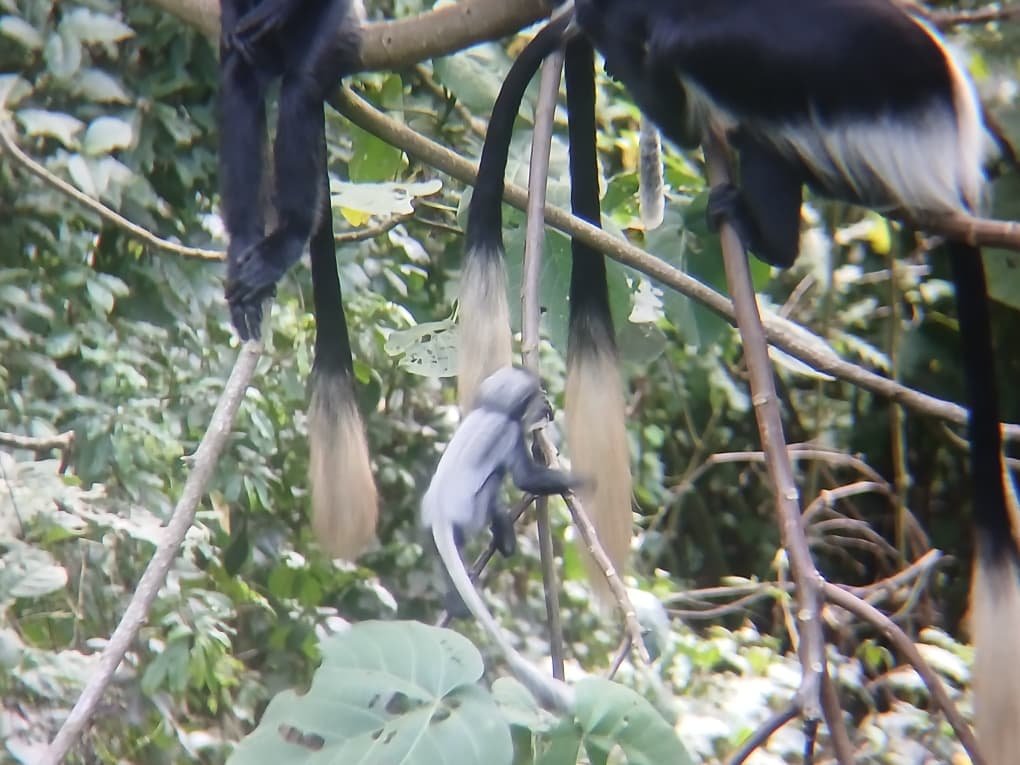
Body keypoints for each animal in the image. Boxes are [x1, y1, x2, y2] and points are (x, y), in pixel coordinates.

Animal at [218, 0, 378, 559]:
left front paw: (273, 10)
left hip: (343, 30)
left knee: (302, 86)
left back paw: (286, 238)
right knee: (240, 78)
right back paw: (245, 247)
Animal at [422, 366, 578, 711]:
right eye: (537, 398)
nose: (547, 406)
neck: (492, 409)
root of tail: (440, 514)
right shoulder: (510, 434)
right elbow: (524, 477)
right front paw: (581, 480)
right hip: (474, 510)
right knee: (493, 484)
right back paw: (505, 539)